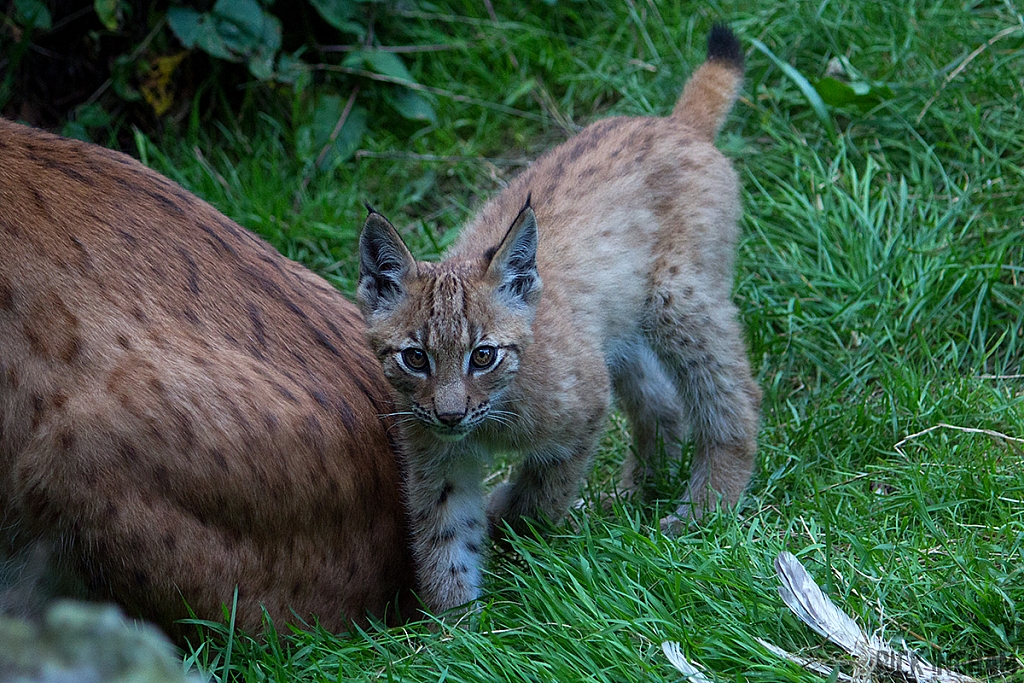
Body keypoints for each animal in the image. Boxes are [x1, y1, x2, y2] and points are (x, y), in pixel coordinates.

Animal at [360, 28, 761, 614]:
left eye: (484, 355)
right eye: (416, 358)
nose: (451, 414)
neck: (492, 418)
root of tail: (672, 123)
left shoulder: (585, 408)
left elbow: (541, 492)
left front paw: (512, 521)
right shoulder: (437, 454)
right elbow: (445, 536)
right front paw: (456, 624)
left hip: (679, 298)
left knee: (737, 395)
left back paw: (705, 509)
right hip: (618, 327)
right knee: (662, 404)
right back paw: (632, 494)